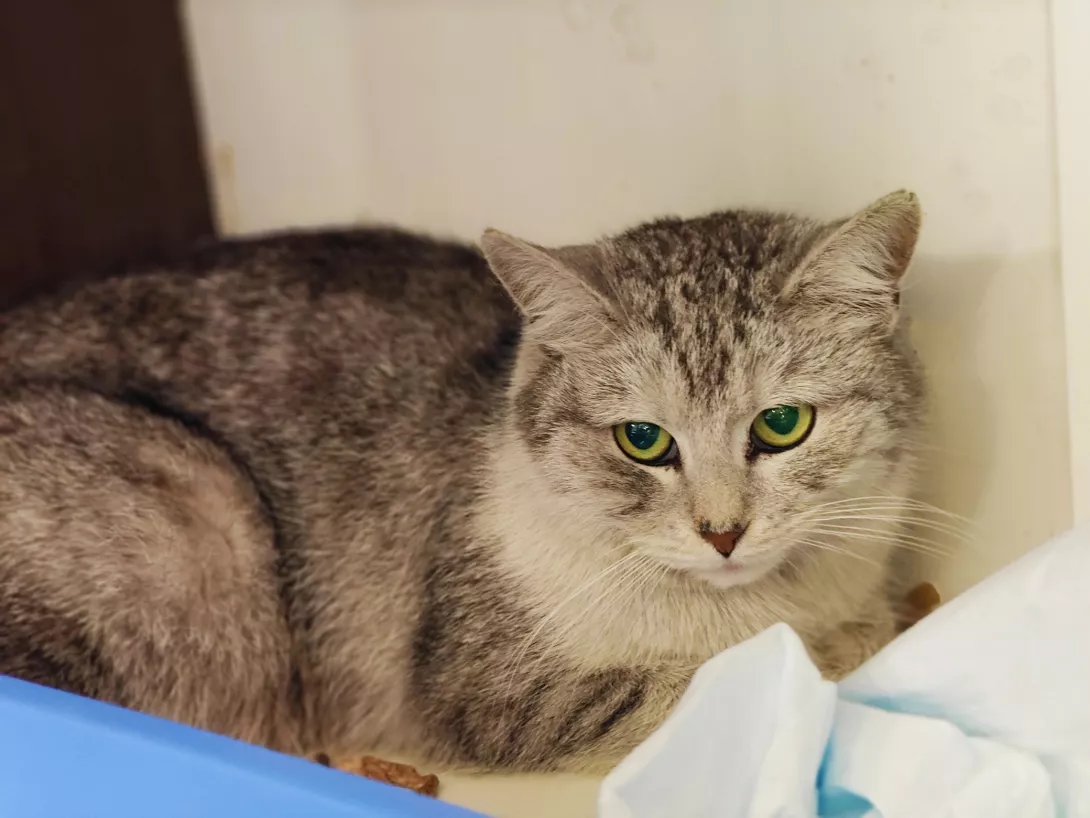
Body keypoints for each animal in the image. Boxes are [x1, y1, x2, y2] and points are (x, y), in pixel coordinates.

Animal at [0, 191, 925, 772]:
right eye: (643, 440)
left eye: (782, 425)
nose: (723, 532)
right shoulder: (488, 695)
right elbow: (693, 683)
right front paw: (834, 653)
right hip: (199, 509)